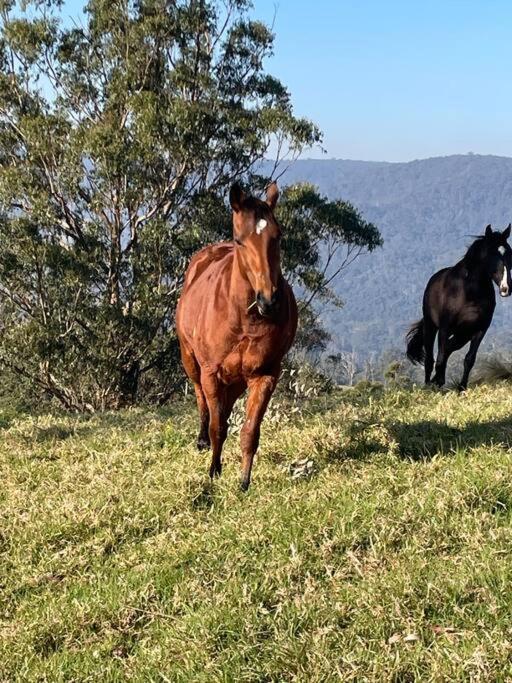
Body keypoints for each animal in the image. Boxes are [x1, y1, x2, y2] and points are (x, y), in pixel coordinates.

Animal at [175, 183, 296, 492]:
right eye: (241, 241)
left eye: (278, 236)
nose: (269, 300)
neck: (244, 318)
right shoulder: (211, 372)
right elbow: (218, 426)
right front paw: (213, 471)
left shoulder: (264, 374)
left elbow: (250, 430)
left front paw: (244, 480)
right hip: (191, 361)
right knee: (201, 398)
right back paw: (202, 440)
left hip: (238, 377)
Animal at [408, 226, 512, 390]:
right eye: (492, 255)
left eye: (510, 253)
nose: (506, 288)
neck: (468, 292)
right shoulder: (445, 328)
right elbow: (440, 358)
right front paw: (438, 385)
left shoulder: (480, 329)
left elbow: (469, 359)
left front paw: (461, 387)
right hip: (431, 327)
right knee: (430, 359)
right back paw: (428, 385)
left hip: (463, 334)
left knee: (449, 348)